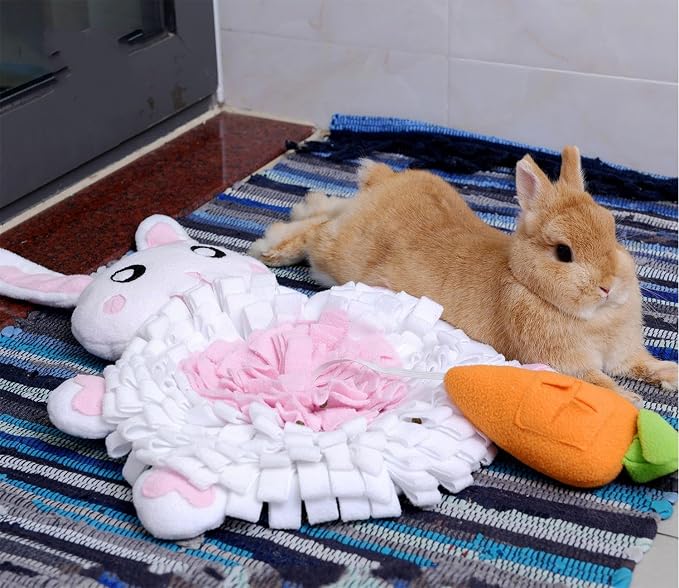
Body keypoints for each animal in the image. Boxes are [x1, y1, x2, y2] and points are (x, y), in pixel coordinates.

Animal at [249, 146, 678, 400]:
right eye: (563, 252)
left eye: (612, 230)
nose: (608, 286)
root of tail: (382, 182)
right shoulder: (566, 364)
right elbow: (598, 381)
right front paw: (631, 401)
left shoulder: (624, 354)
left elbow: (641, 365)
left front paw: (670, 374)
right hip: (338, 256)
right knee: (317, 234)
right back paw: (271, 249)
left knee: (329, 209)